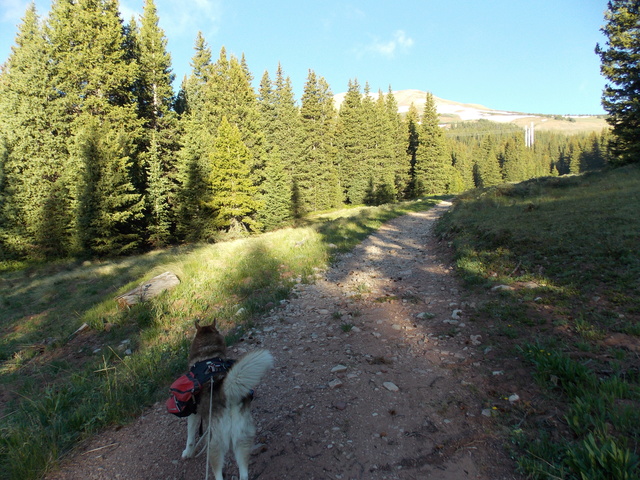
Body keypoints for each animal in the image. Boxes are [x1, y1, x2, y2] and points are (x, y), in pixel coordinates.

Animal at [180, 318, 272, 480]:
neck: (208, 354)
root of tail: (226, 393)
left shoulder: (193, 413)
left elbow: (190, 437)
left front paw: (188, 452)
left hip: (214, 445)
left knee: (218, 474)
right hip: (242, 441)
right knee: (244, 474)